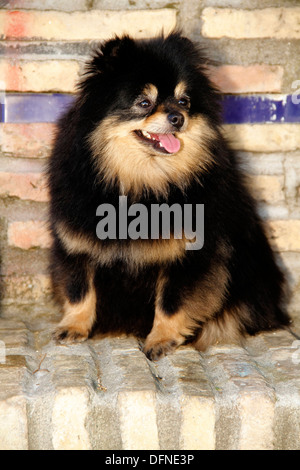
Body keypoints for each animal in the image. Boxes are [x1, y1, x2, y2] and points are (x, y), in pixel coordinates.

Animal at [47, 32, 290, 360]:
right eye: (144, 102)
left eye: (184, 101)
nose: (178, 117)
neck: (142, 182)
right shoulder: (76, 243)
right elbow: (79, 290)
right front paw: (74, 326)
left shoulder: (190, 255)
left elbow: (171, 302)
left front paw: (162, 339)